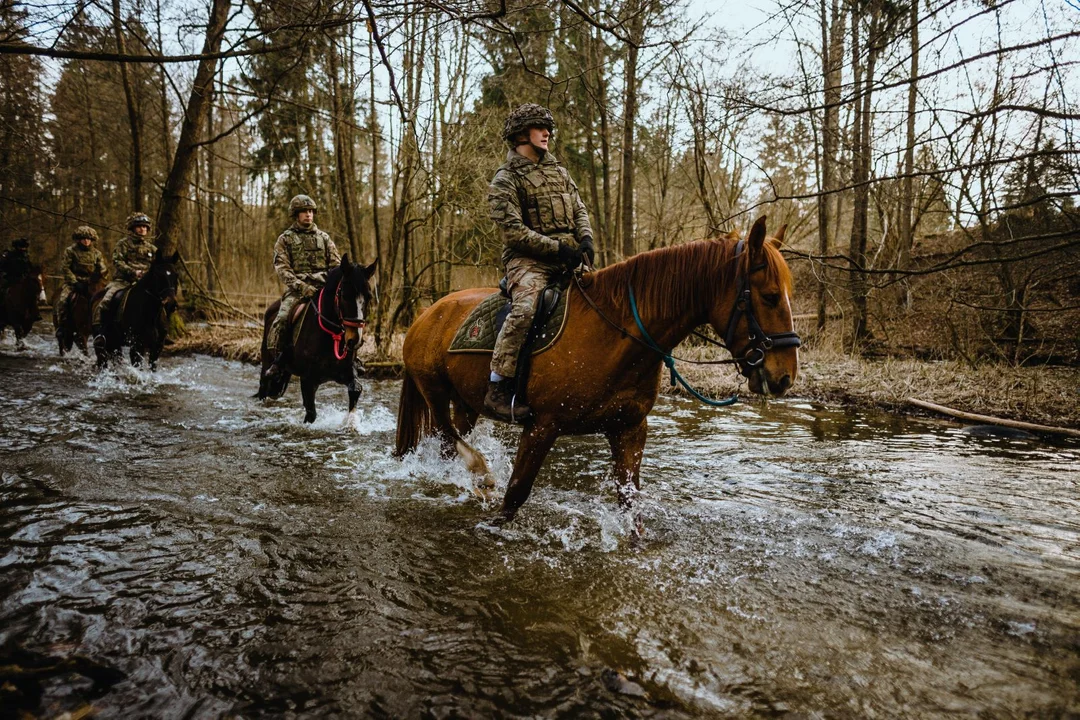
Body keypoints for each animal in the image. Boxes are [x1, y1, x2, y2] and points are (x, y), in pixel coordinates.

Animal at [257, 254, 380, 425]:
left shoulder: (346, 372)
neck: (332, 335)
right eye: (344, 295)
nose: (354, 340)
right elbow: (311, 414)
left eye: (368, 297)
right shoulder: (308, 380)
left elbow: (355, 391)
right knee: (265, 390)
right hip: (268, 369)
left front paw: (351, 425)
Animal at [397, 215, 803, 524]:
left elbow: (630, 505)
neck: (615, 334)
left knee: (446, 441)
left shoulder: (629, 429)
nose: (784, 376)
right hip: (433, 391)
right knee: (448, 438)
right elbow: (515, 495)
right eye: (769, 296)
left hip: (466, 404)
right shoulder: (541, 426)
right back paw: (480, 472)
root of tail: (425, 316)